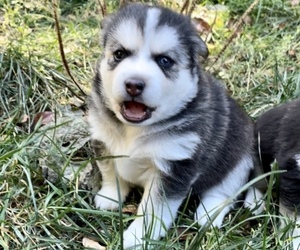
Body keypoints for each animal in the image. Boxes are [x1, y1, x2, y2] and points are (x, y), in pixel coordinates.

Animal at [88, 3, 258, 248]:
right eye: (119, 54)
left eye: (165, 61)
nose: (133, 84)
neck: (134, 131)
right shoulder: (103, 140)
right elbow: (110, 171)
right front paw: (110, 196)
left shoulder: (175, 166)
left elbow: (153, 209)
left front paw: (139, 236)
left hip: (238, 160)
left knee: (224, 191)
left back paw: (208, 214)